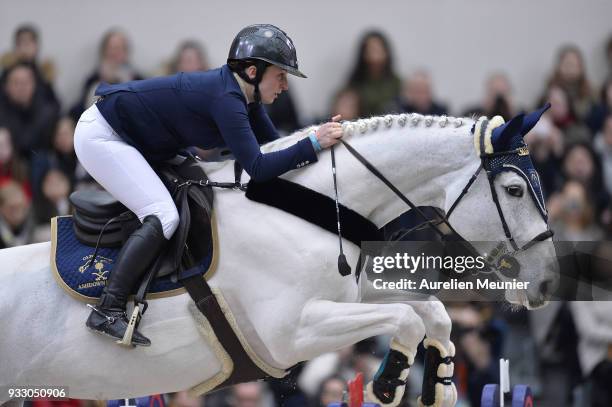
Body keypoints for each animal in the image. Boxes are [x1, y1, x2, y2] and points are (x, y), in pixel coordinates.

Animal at [0, 111, 556, 407]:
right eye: (513, 190)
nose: (549, 285)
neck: (309, 205)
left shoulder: (350, 296)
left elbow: (432, 312)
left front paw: (437, 385)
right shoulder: (289, 332)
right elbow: (406, 318)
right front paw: (388, 382)